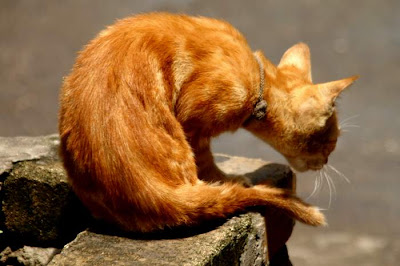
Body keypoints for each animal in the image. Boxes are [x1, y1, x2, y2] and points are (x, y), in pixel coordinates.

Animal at [57, 13, 358, 233]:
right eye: (331, 143)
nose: (326, 162)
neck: (257, 83)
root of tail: (155, 195)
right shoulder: (193, 122)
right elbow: (208, 163)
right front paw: (229, 178)